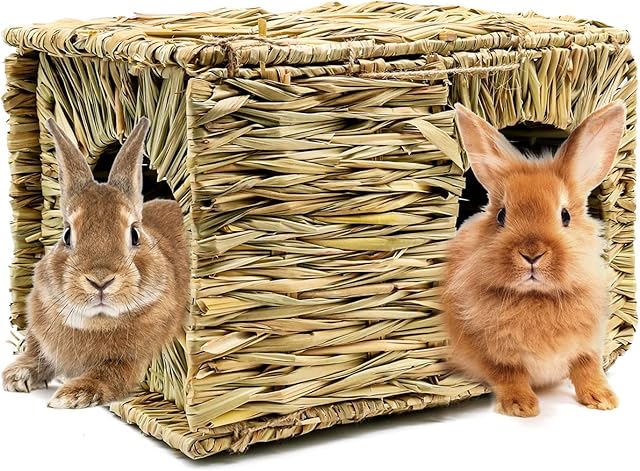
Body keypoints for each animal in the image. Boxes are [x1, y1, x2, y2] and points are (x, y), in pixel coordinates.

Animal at [2, 117, 190, 408]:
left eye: (134, 234)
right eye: (67, 234)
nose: (100, 281)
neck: (96, 321)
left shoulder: (130, 361)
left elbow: (109, 374)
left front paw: (70, 396)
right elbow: (37, 353)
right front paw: (16, 376)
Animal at [443, 101, 627, 417]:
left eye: (565, 216)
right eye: (501, 216)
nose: (531, 254)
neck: (537, 297)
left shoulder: (588, 344)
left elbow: (587, 367)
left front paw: (602, 399)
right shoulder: (490, 353)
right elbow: (509, 373)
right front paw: (522, 406)